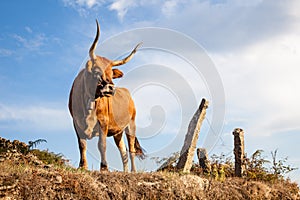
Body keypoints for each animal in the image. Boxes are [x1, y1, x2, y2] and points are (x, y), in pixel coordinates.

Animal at [68, 20, 144, 172]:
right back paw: (125, 171)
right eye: (97, 71)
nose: (111, 88)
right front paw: (82, 166)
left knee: (131, 150)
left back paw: (133, 171)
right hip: (118, 132)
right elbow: (82, 144)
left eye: (111, 73)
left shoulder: (103, 122)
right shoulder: (76, 122)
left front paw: (104, 168)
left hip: (131, 125)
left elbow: (101, 145)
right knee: (123, 151)